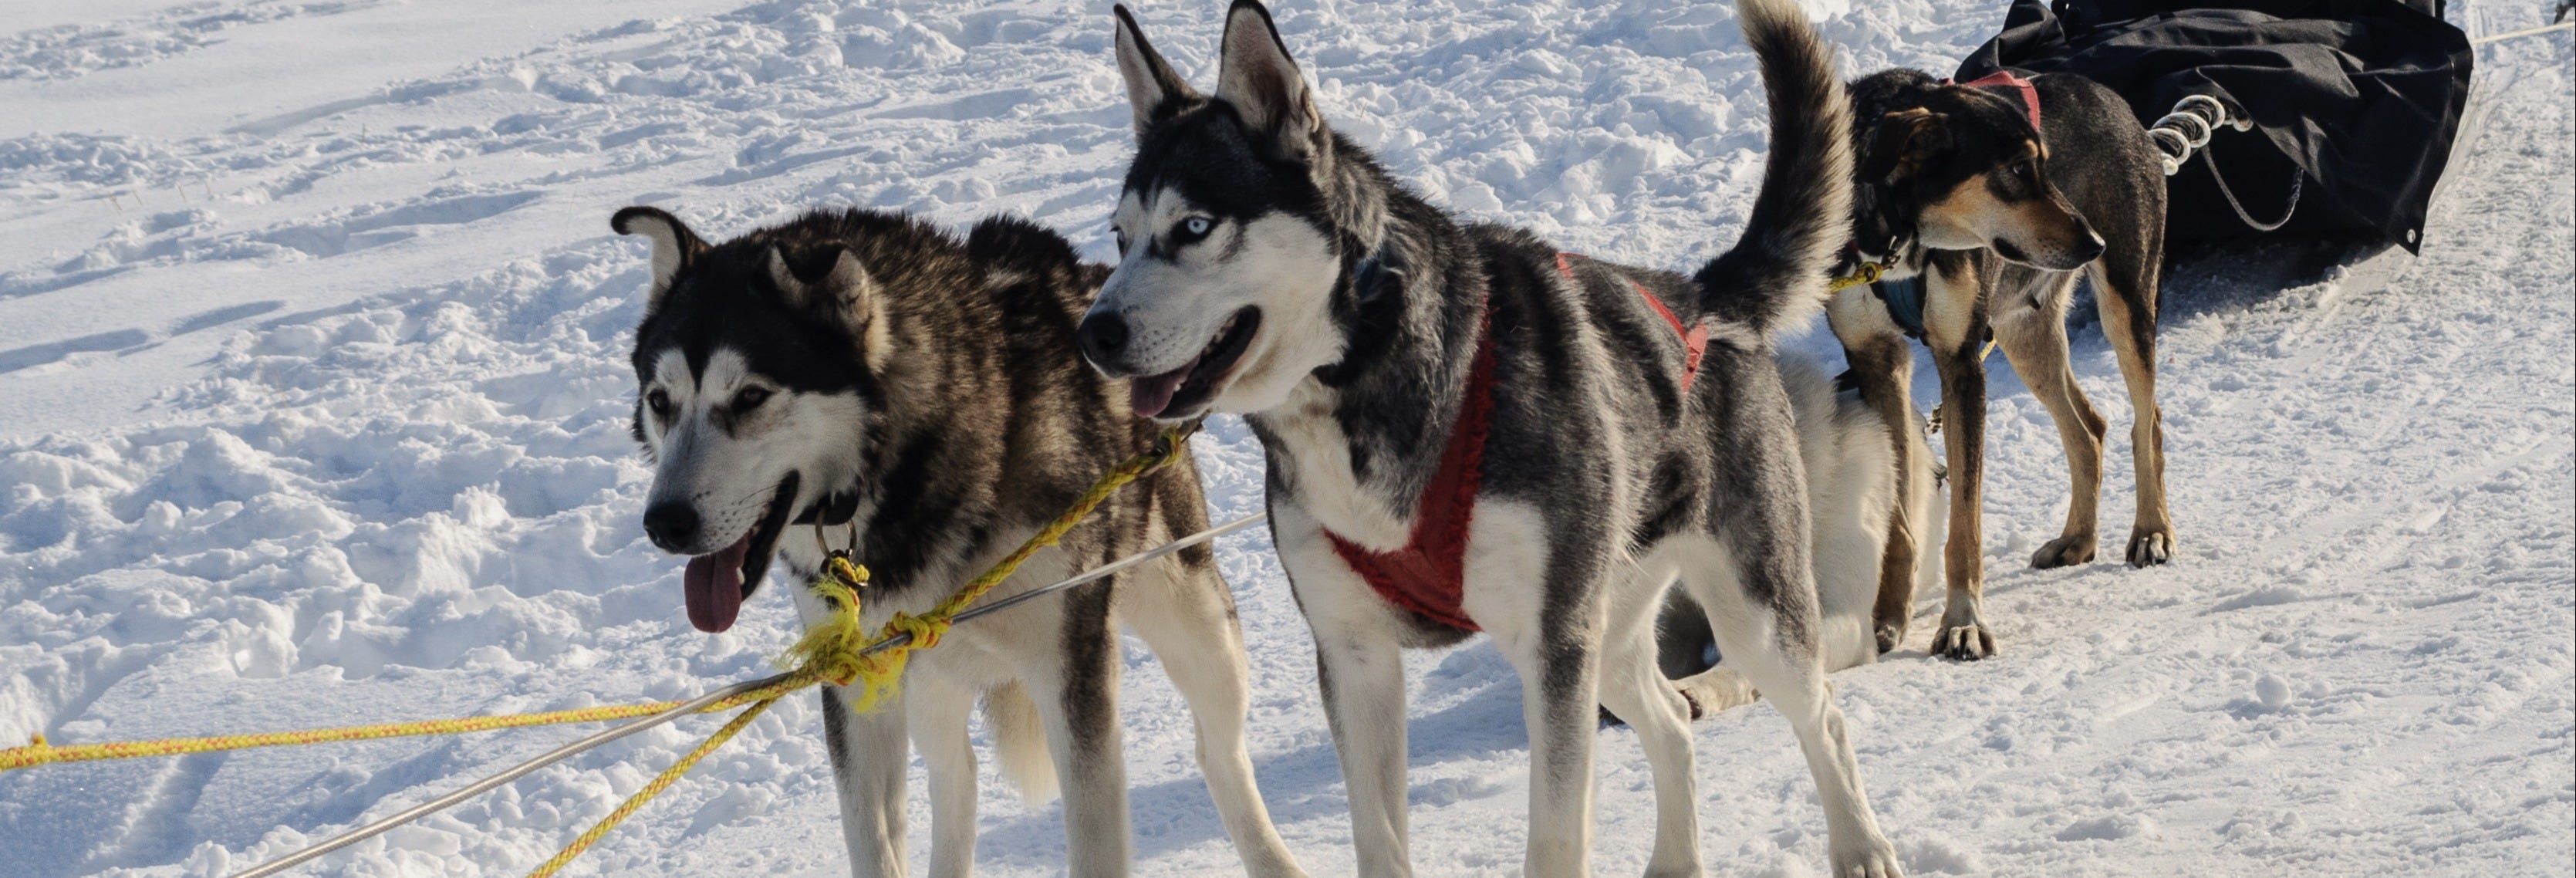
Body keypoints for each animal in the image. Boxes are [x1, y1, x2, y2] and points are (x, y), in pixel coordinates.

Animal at [613, 207, 1308, 875]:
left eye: (751, 396)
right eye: (660, 401)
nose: (665, 523)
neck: (904, 478)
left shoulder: (1070, 670)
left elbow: (1094, 840)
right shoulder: (857, 685)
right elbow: (874, 842)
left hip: (1194, 621)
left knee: (1218, 752)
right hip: (927, 682)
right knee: (956, 778)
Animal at [1076, 3, 1906, 870]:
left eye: (1193, 227)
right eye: (1120, 236)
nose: (1092, 333)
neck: (1364, 375)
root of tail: (1703, 297)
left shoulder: (1551, 649)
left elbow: (1555, 835)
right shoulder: (1355, 657)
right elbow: (1378, 840)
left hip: (1748, 616)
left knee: (1823, 717)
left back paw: (1861, 847)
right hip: (1609, 630)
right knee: (1673, 723)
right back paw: (1675, 861)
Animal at [1834, 66, 2174, 656]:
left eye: (2044, 165)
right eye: (2017, 169)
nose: (2094, 241)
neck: (1896, 241)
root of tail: (2107, 94)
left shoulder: (1961, 363)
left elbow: (1964, 526)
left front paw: (1962, 622)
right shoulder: (1875, 362)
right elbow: (1898, 520)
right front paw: (1887, 616)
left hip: (2125, 304)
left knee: (2145, 419)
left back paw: (2151, 531)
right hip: (2023, 334)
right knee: (2089, 428)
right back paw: (2077, 539)